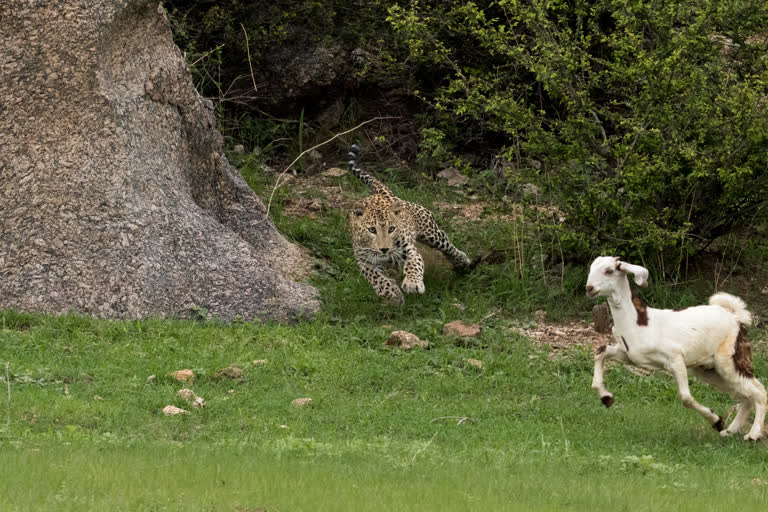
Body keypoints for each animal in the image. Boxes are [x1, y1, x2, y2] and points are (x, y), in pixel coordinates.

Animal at [346, 144, 468, 304]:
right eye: (372, 230)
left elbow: (414, 264)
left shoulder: (409, 249)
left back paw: (462, 262)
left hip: (430, 231)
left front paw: (412, 283)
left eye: (391, 229)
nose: (384, 249)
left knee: (447, 245)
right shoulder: (363, 260)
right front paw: (392, 294)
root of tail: (384, 194)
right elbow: (376, 278)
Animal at [584, 256, 764, 440]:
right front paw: (606, 398)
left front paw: (717, 421)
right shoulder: (629, 355)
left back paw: (753, 435)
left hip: (729, 358)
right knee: (746, 395)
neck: (637, 322)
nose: (589, 288)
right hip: (709, 369)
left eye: (609, 271)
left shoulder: (675, 358)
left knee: (759, 391)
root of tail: (736, 317)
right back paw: (730, 431)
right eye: (591, 268)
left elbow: (685, 397)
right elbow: (601, 352)